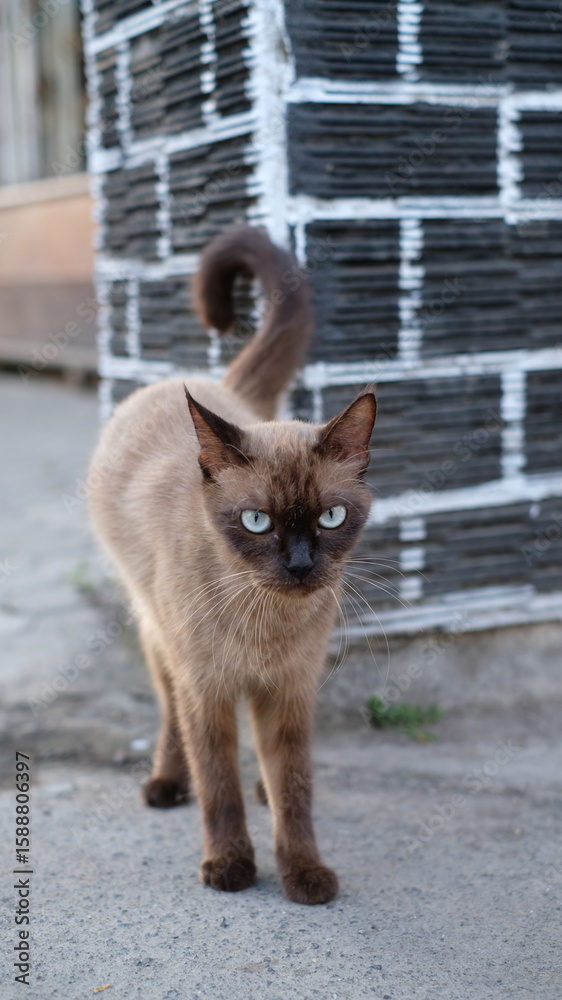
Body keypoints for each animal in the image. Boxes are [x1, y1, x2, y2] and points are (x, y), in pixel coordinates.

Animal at [88, 225, 376, 905]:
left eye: (330, 518)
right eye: (257, 523)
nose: (299, 566)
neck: (266, 622)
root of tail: (211, 384)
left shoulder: (290, 690)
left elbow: (296, 788)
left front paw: (304, 874)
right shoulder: (208, 689)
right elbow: (217, 785)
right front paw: (231, 869)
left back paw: (260, 791)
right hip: (159, 636)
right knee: (172, 717)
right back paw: (168, 783)